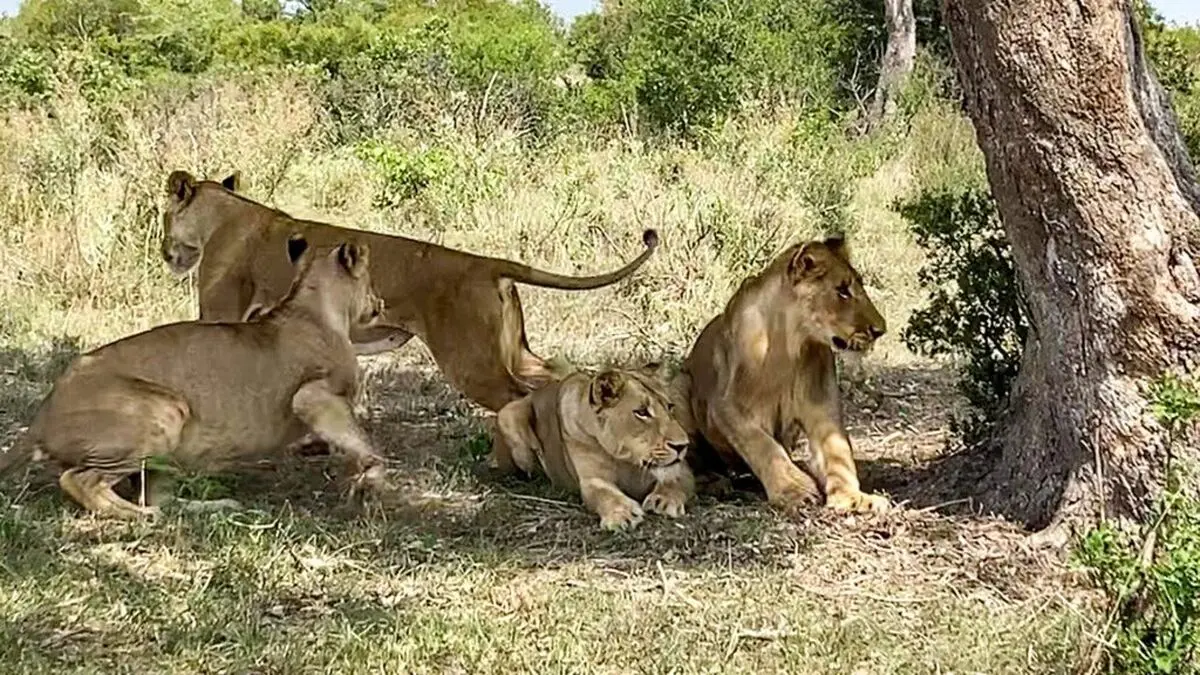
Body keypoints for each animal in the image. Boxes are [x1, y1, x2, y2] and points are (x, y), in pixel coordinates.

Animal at [0, 236, 390, 518]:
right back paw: (142, 519)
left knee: (153, 495)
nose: (380, 303)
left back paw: (215, 507)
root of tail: (44, 413)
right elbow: (362, 441)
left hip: (166, 450)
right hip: (166, 409)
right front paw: (372, 475)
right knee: (81, 480)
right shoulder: (312, 396)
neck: (314, 306)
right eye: (371, 281)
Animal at [160, 170, 658, 412]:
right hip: (513, 352)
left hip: (471, 360)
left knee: (519, 399)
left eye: (164, 216)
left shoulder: (221, 313)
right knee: (556, 378)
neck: (222, 215)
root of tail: (487, 264)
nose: (166, 253)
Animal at [491, 365, 695, 530]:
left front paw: (664, 500)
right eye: (642, 412)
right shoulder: (593, 480)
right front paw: (622, 514)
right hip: (509, 415)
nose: (682, 445)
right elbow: (604, 494)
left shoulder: (681, 469)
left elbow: (674, 481)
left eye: (669, 407)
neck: (625, 459)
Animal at [670, 235, 890, 514]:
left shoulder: (823, 406)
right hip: (678, 385)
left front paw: (853, 497)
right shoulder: (724, 405)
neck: (789, 347)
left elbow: (838, 453)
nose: (880, 330)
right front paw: (794, 490)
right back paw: (713, 482)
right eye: (842, 290)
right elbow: (763, 445)